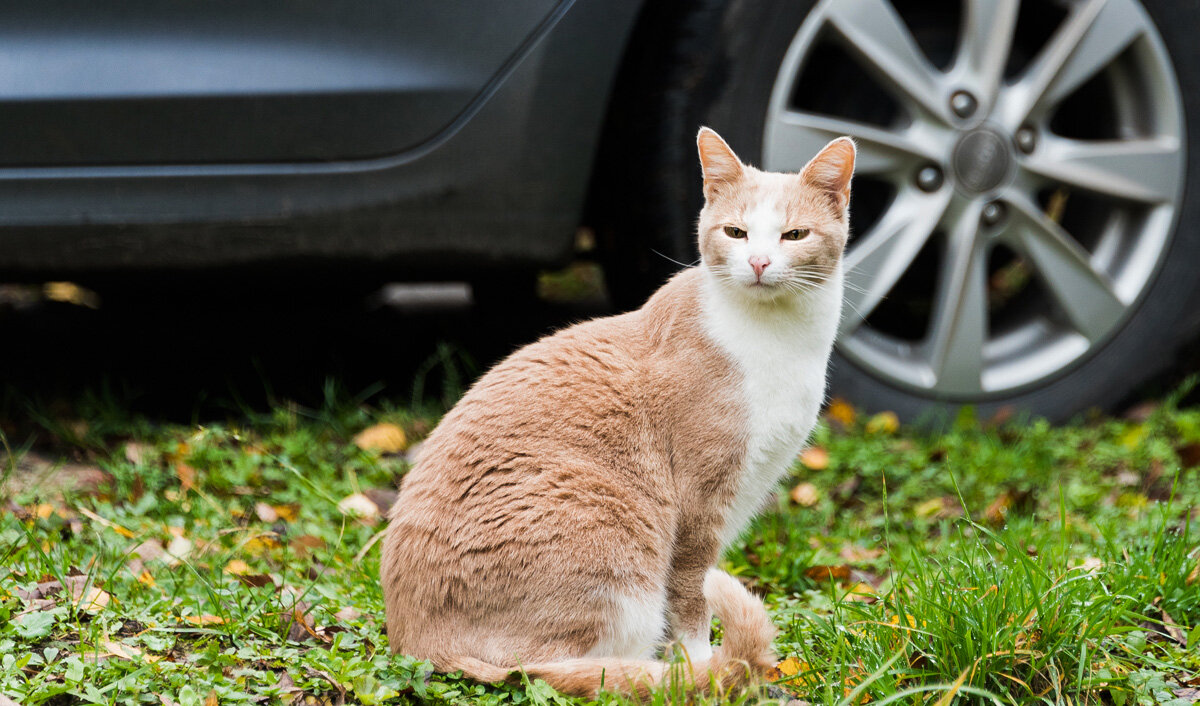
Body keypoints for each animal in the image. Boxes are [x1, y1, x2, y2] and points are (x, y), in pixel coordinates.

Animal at [381, 125, 854, 696]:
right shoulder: (700, 507)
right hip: (610, 540)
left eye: (795, 235)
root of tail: (418, 644)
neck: (779, 338)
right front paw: (699, 665)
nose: (759, 263)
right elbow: (692, 601)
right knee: (564, 667)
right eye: (737, 233)